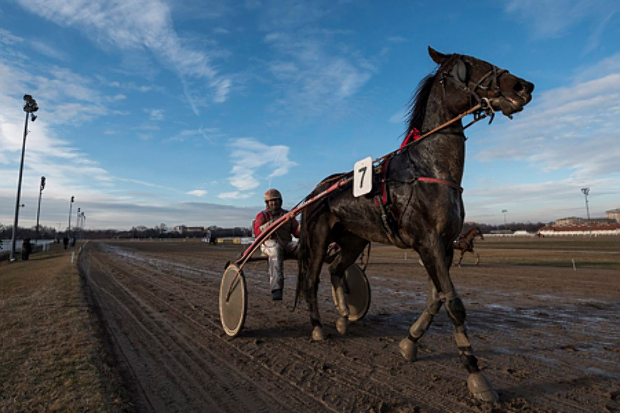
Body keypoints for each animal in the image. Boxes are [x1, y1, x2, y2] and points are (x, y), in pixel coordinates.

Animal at [296, 46, 532, 400]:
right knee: (312, 280)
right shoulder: (427, 242)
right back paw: (317, 328)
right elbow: (454, 305)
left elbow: (437, 298)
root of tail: (318, 190)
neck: (428, 169)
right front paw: (476, 375)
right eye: (469, 65)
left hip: (354, 238)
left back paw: (343, 317)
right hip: (319, 236)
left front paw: (409, 343)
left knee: (337, 269)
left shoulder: (444, 245)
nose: (522, 86)